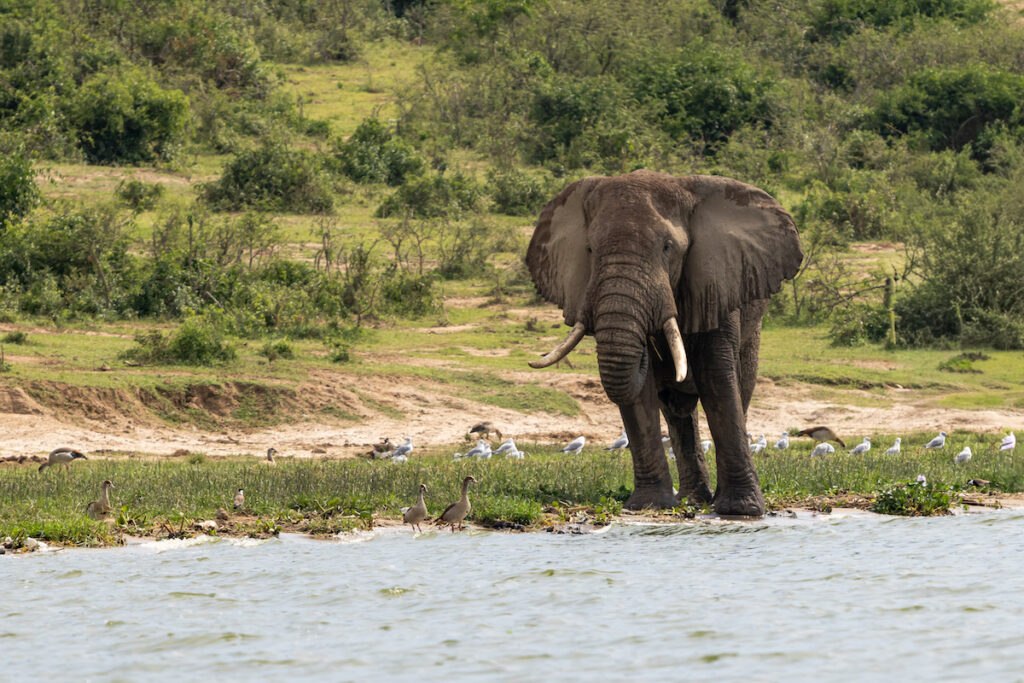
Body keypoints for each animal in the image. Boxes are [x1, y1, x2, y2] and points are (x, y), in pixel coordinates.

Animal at [526, 170, 802, 516]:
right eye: (589, 249)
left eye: (667, 247)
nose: (652, 344)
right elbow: (639, 395)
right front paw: (649, 506)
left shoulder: (715, 282)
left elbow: (717, 380)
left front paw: (741, 511)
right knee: (677, 413)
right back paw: (693, 500)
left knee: (740, 391)